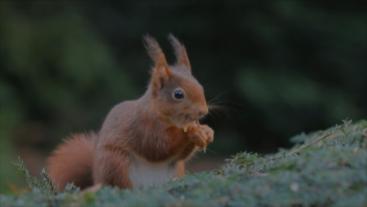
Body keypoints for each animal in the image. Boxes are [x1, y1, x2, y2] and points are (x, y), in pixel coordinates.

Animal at [47, 34, 214, 191]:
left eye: (200, 86)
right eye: (178, 94)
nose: (203, 111)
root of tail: (97, 178)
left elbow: (181, 155)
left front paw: (207, 132)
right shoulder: (143, 125)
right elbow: (158, 146)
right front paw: (191, 133)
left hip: (176, 170)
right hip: (116, 162)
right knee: (122, 186)